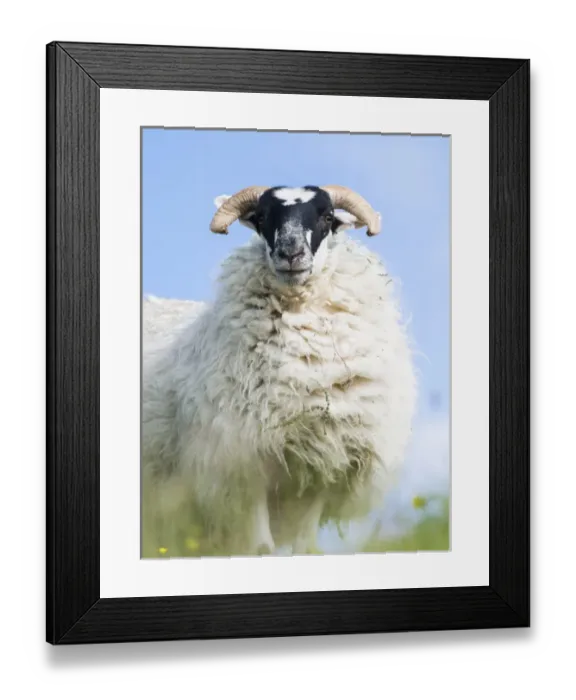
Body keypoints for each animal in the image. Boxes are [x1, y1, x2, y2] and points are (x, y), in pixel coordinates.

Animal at [142, 185, 418, 557]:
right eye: (261, 217)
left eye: (327, 216)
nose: (291, 253)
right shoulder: (244, 465)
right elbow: (261, 548)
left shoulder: (323, 466)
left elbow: (304, 547)